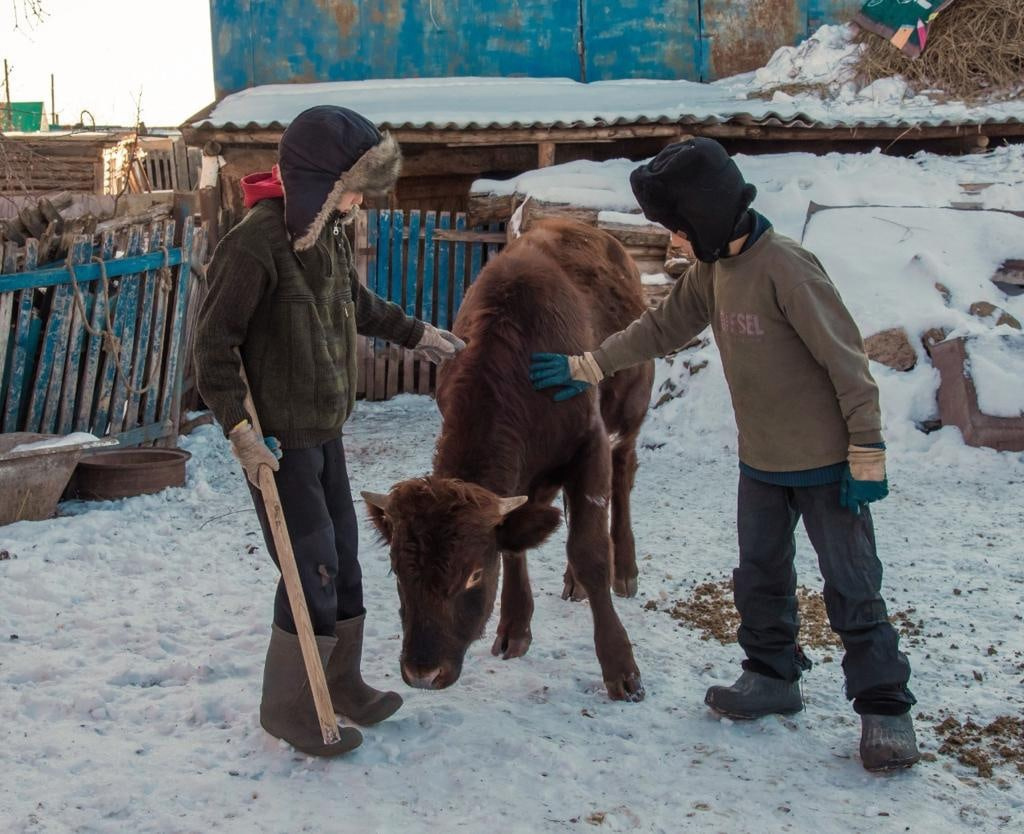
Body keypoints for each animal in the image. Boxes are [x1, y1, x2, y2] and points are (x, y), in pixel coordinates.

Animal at [366, 219, 655, 700]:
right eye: (397, 571)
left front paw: (622, 668)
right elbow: (518, 544)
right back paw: (572, 583)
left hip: (630, 415)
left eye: (473, 575)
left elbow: (589, 548)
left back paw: (626, 570)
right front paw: (515, 628)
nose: (422, 673)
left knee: (622, 477)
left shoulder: (589, 443)